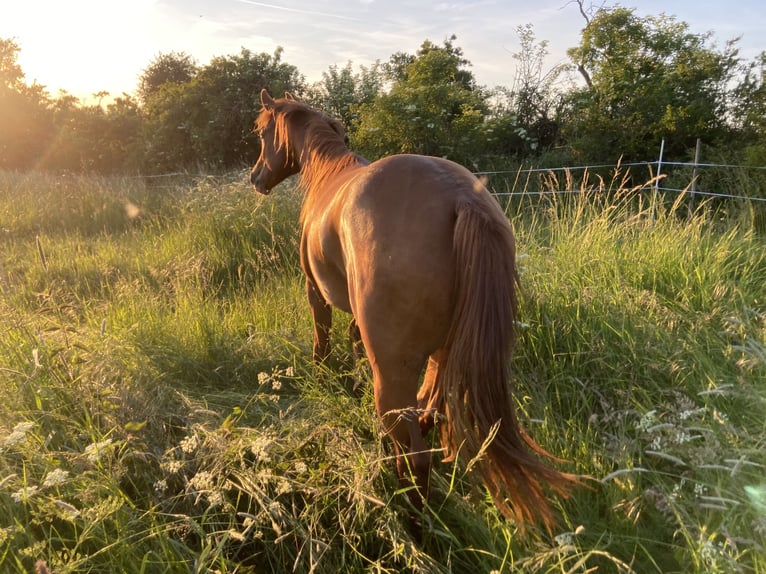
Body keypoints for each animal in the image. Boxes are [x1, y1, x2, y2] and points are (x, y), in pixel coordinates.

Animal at [249, 89, 577, 533]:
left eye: (261, 131)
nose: (255, 178)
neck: (329, 175)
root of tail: (460, 196)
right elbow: (353, 341)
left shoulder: (314, 291)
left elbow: (323, 339)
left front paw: (322, 376)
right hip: (443, 356)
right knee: (428, 417)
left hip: (394, 375)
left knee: (414, 458)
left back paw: (412, 524)